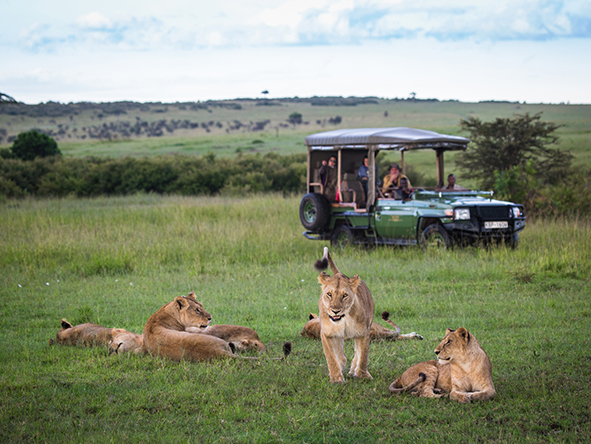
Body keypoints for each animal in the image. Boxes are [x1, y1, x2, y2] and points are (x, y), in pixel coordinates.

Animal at [314, 246, 374, 382]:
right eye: (329, 294)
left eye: (344, 295)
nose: (335, 311)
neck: (344, 319)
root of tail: (339, 273)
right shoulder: (326, 334)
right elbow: (331, 358)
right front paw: (336, 379)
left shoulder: (363, 333)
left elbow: (363, 356)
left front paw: (362, 375)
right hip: (336, 336)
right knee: (340, 354)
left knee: (357, 352)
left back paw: (352, 371)